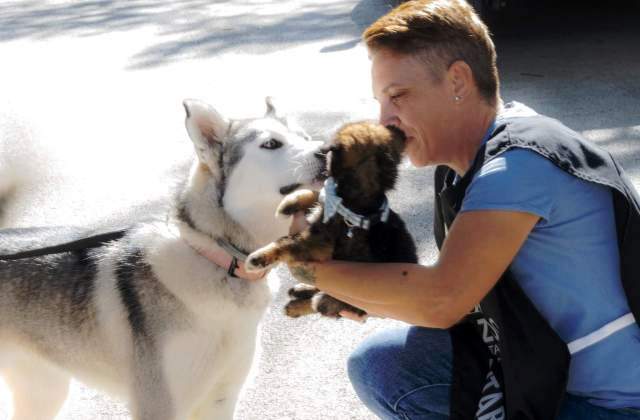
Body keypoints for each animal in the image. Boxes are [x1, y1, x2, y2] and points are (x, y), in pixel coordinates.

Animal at [0, 99, 324, 420]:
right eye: (271, 144)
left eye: (305, 137)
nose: (326, 150)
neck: (216, 260)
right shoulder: (159, 405)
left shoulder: (220, 400)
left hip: (45, 394)